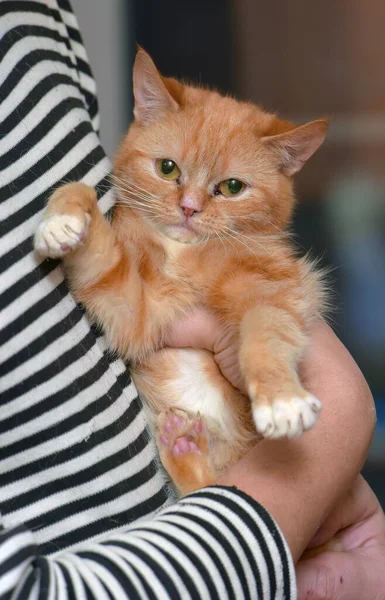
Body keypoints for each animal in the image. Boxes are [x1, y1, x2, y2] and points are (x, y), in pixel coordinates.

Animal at [34, 48, 328, 496]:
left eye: (232, 187)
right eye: (168, 168)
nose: (189, 208)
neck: (183, 252)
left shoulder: (278, 292)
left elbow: (268, 332)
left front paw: (282, 398)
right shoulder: (136, 309)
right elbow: (95, 230)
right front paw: (63, 218)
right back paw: (183, 446)